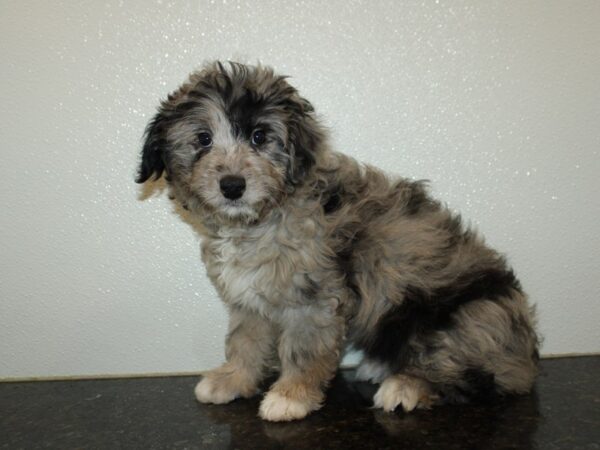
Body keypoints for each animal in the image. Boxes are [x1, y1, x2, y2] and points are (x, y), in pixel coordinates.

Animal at [136, 62, 540, 422]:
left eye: (259, 137)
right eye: (203, 139)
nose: (232, 186)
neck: (260, 220)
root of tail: (524, 355)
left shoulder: (313, 299)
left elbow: (302, 351)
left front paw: (290, 397)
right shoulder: (248, 300)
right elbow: (244, 342)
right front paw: (233, 379)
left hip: (464, 319)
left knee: (468, 374)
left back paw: (406, 385)